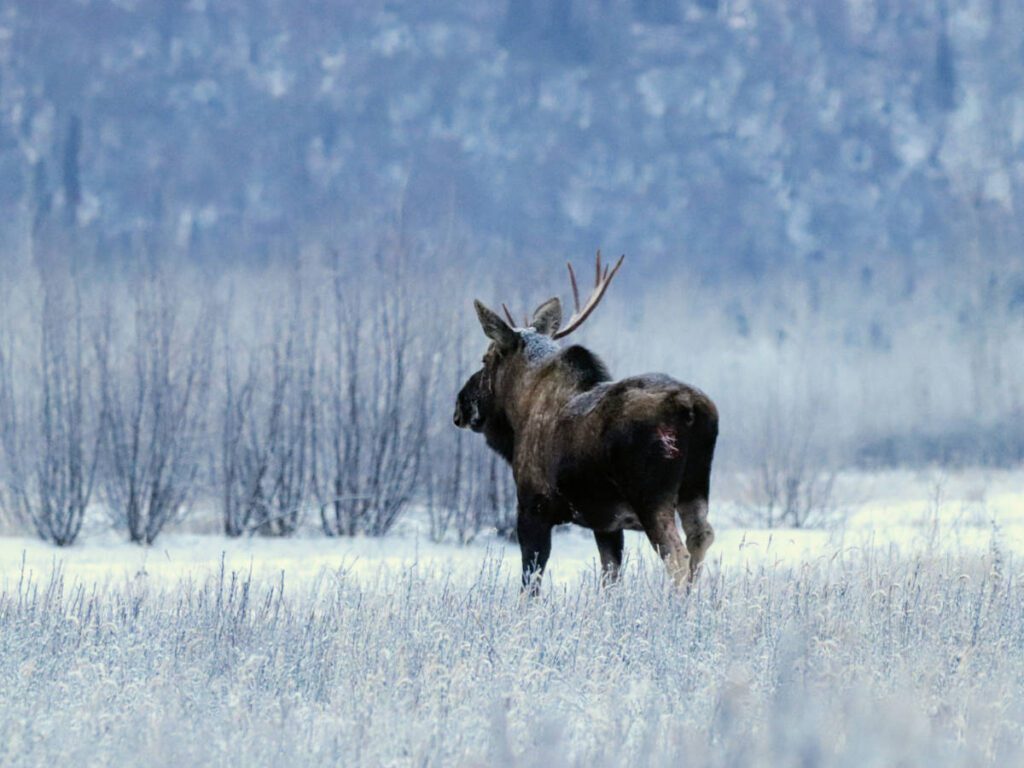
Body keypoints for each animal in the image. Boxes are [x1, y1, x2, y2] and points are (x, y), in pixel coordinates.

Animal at [453, 253, 718, 593]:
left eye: (486, 359)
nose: (460, 403)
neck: (519, 415)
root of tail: (691, 408)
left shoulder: (532, 507)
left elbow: (530, 582)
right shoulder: (606, 524)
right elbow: (610, 580)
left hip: (652, 498)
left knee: (677, 555)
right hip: (696, 487)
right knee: (701, 538)